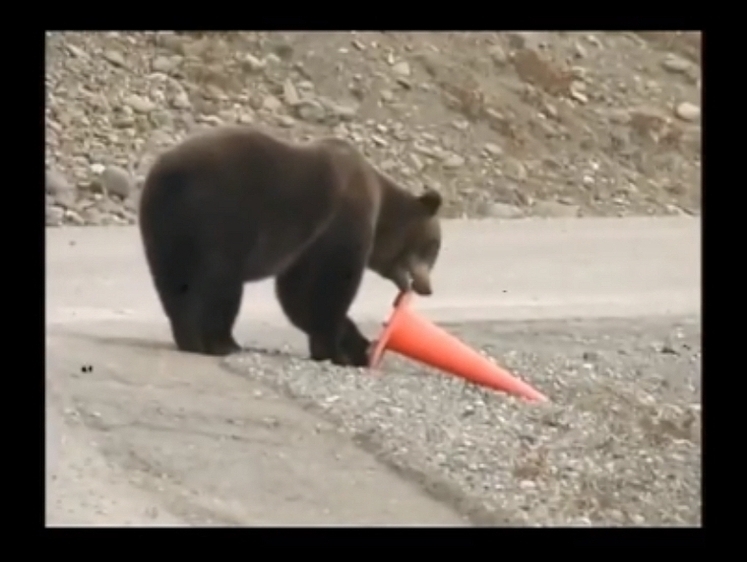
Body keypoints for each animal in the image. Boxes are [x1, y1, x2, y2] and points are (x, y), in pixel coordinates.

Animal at [137, 124, 442, 366]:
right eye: (433, 248)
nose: (427, 288)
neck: (382, 212)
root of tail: (169, 172)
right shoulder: (341, 223)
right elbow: (328, 286)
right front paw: (338, 350)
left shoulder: (307, 245)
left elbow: (297, 295)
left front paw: (354, 346)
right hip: (221, 217)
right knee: (219, 283)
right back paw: (219, 342)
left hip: (164, 225)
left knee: (173, 280)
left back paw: (189, 336)